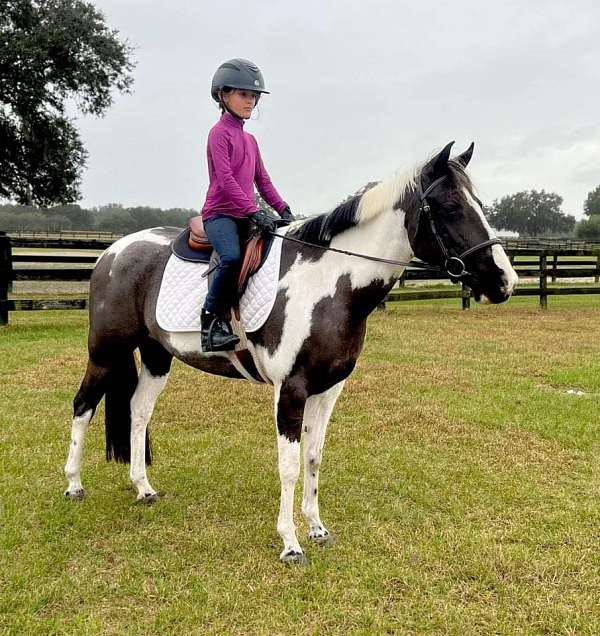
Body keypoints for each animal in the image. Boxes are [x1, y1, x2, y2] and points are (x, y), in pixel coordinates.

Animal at [63, 143, 516, 560]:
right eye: (451, 207)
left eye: (478, 204)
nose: (505, 281)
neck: (329, 286)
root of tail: (112, 252)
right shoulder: (291, 390)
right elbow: (289, 465)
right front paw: (290, 543)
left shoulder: (328, 389)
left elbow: (313, 457)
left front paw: (316, 527)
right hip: (105, 353)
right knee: (83, 405)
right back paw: (73, 484)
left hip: (158, 357)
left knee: (138, 411)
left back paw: (143, 488)